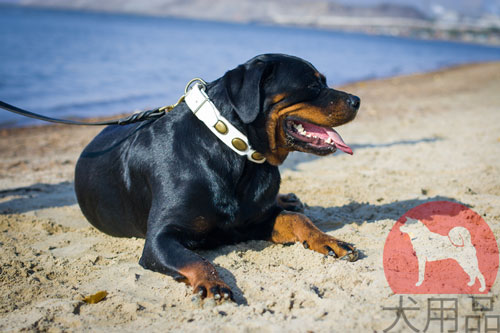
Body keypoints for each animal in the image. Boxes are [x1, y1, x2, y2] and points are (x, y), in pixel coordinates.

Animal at [74, 53, 362, 300]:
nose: (357, 100)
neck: (237, 151)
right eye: (312, 85)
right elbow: (195, 259)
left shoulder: (255, 221)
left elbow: (298, 219)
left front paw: (330, 240)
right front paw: (212, 282)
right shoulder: (159, 239)